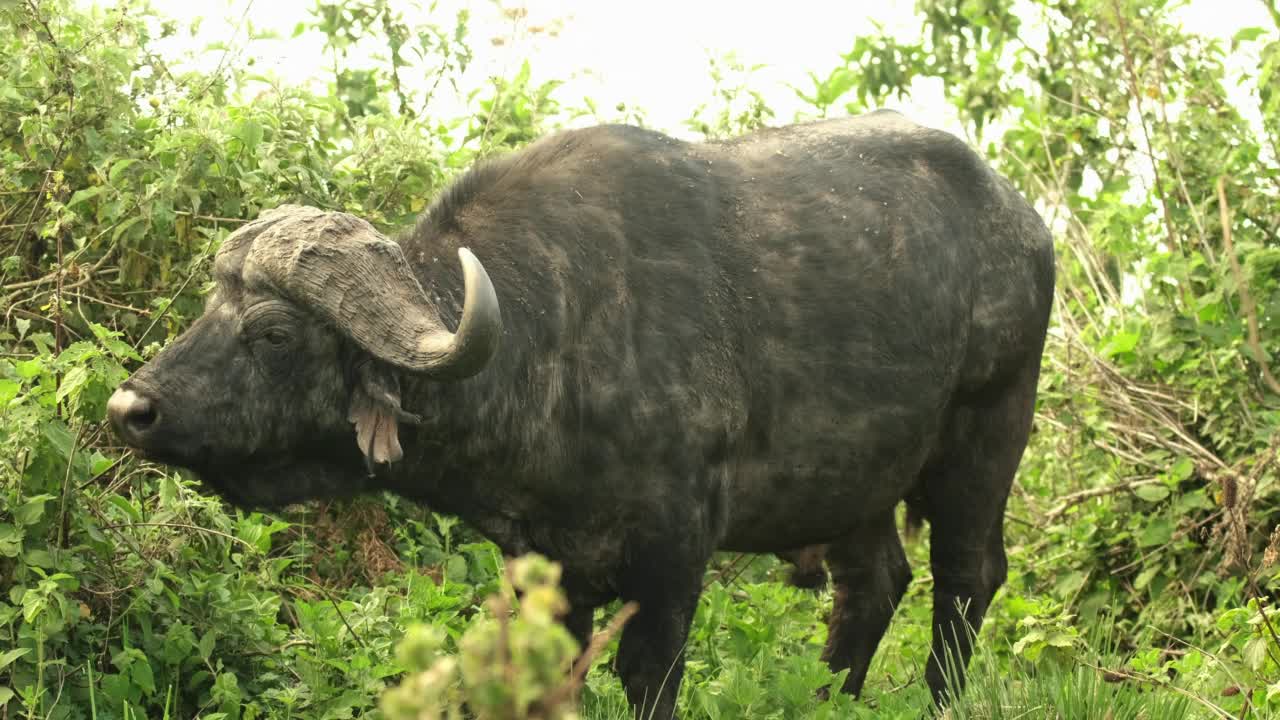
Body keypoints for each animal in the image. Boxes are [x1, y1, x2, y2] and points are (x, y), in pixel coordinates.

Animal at [107, 109, 1049, 712]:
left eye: (271, 332)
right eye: (210, 307)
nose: (129, 408)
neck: (554, 342)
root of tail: (1025, 224)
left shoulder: (674, 556)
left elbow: (648, 675)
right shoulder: (543, 565)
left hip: (987, 436)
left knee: (967, 577)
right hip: (852, 482)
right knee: (874, 583)